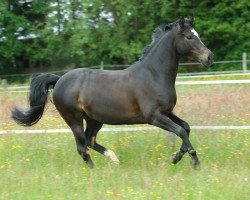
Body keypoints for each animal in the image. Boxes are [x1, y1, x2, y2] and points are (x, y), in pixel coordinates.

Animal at [11, 17, 213, 168]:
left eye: (197, 35)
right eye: (189, 36)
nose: (209, 57)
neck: (154, 74)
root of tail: (59, 80)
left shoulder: (167, 112)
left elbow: (186, 127)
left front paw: (176, 157)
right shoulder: (154, 116)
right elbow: (180, 130)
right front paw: (194, 161)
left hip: (94, 119)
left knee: (89, 141)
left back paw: (113, 159)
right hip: (73, 119)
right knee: (82, 147)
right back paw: (95, 172)